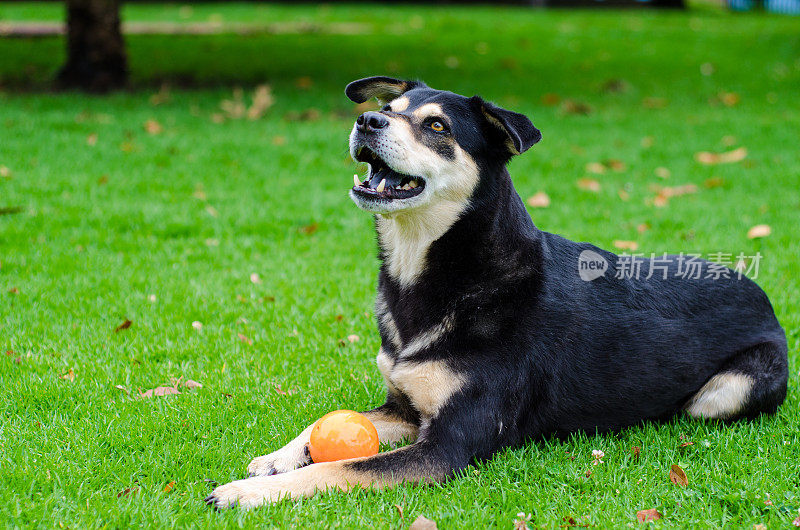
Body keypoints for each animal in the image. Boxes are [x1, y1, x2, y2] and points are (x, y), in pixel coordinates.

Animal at [205, 76, 788, 506]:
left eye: (436, 125)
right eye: (388, 108)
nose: (366, 121)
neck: (443, 270)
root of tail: (759, 291)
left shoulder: (447, 446)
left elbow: (345, 467)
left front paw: (246, 493)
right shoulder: (405, 408)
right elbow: (325, 429)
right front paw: (275, 460)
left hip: (723, 393)